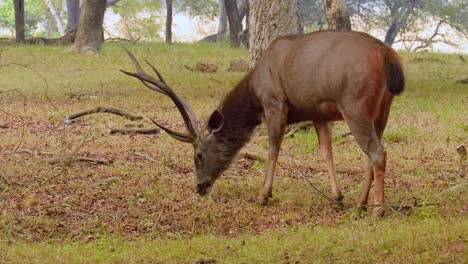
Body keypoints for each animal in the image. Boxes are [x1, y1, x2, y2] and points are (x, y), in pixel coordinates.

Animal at [122, 29, 404, 218]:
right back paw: (361, 203)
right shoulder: (318, 113)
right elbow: (326, 152)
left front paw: (263, 195)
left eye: (198, 155)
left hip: (355, 104)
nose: (199, 187)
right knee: (372, 154)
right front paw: (338, 198)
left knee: (377, 153)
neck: (255, 91)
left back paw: (378, 210)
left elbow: (272, 150)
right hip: (382, 110)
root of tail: (387, 54)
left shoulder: (274, 103)